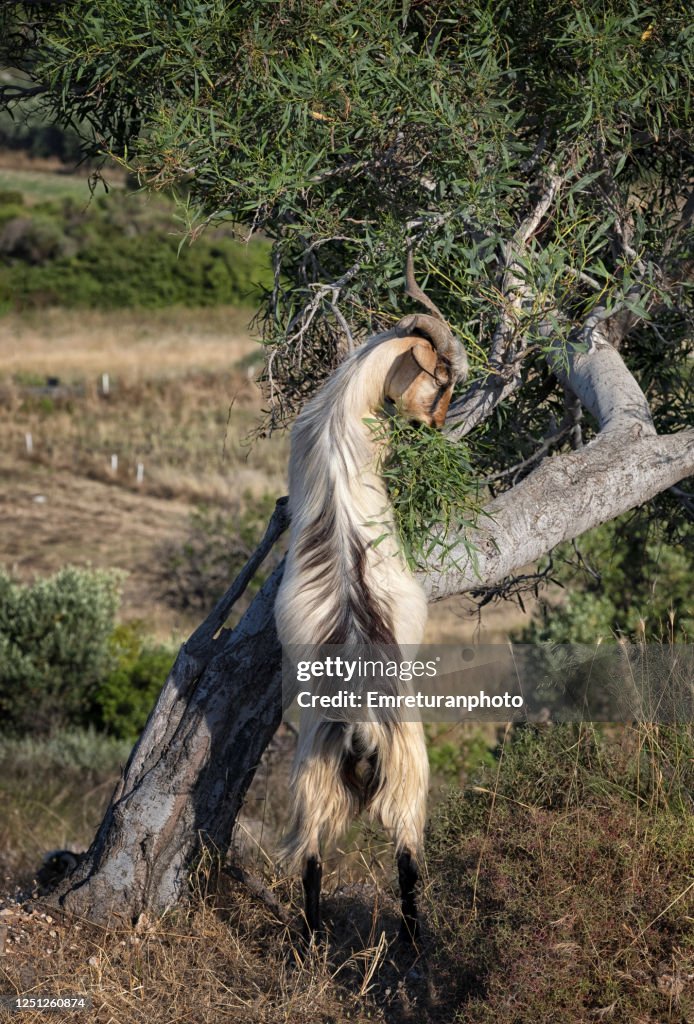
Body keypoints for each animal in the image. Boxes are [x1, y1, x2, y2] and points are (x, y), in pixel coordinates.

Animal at [276, 258, 466, 942]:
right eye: (441, 379)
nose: (434, 428)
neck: (341, 420)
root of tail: (360, 725)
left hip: (315, 777)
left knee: (312, 863)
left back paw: (310, 944)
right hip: (408, 770)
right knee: (406, 861)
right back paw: (413, 943)